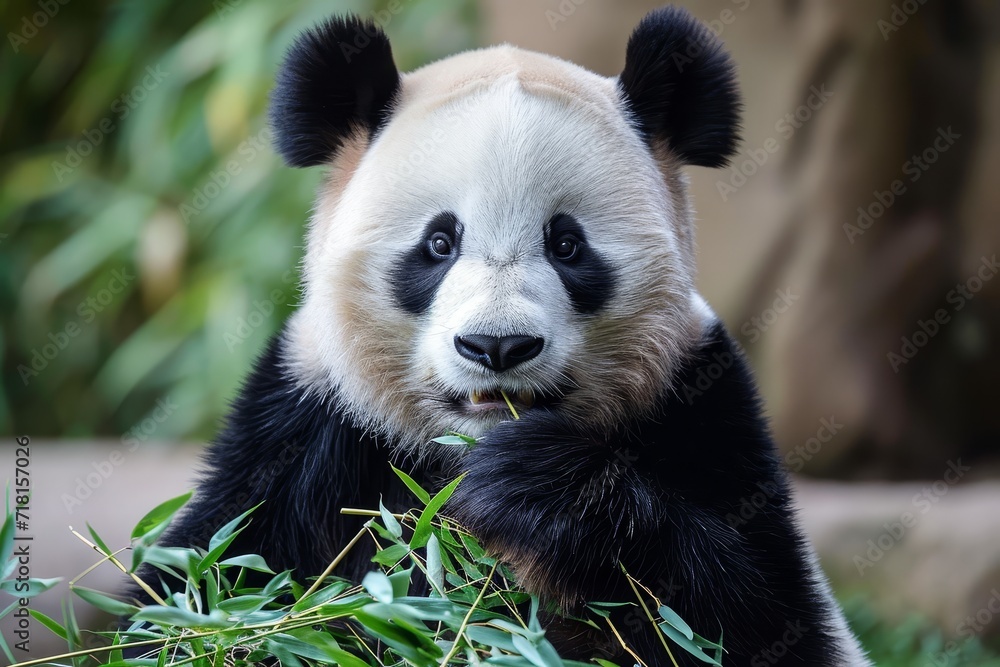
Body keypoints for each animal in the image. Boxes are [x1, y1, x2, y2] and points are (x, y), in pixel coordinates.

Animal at [146, 6, 872, 665]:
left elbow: (760, 620)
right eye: (439, 242)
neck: (460, 456)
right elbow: (199, 588)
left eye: (567, 245)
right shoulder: (303, 428)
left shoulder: (702, 402)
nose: (497, 347)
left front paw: (538, 488)